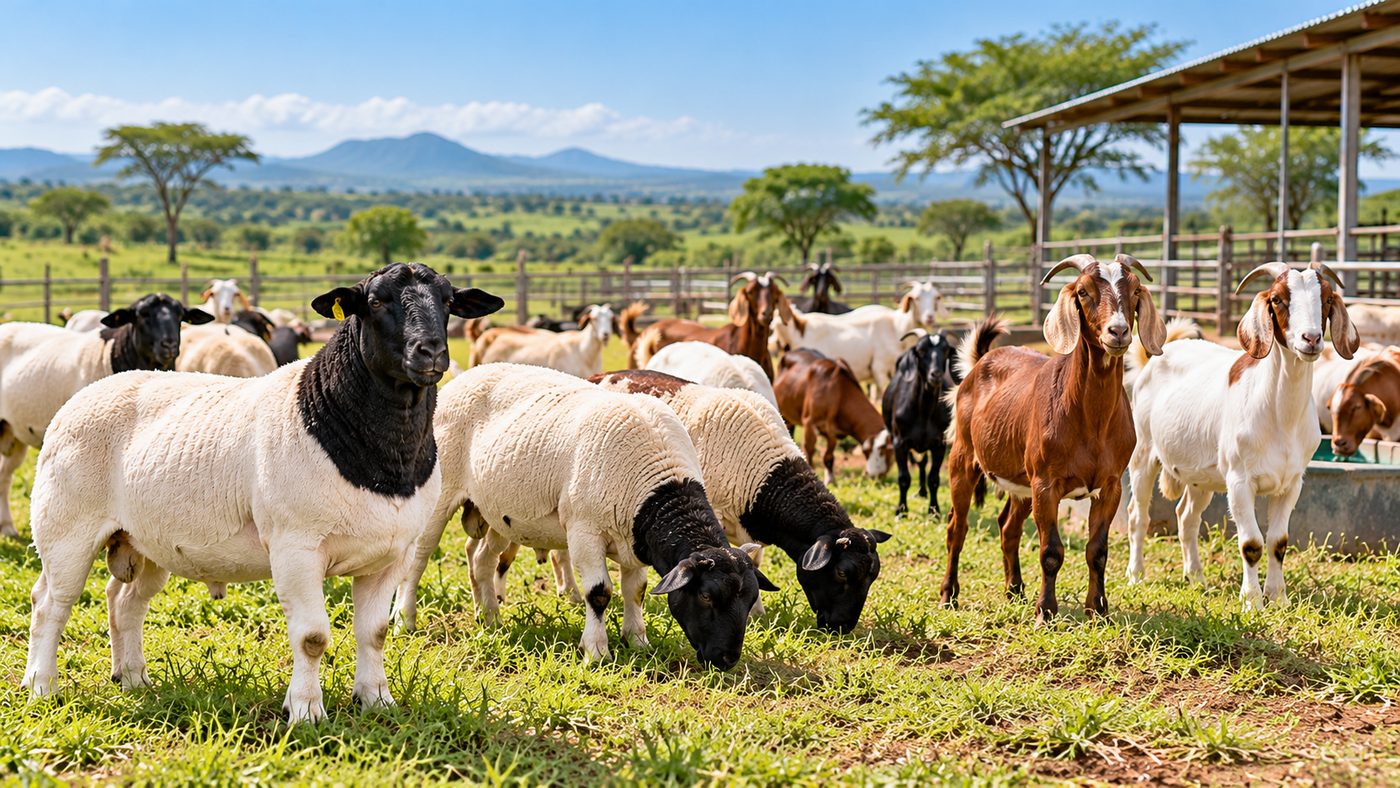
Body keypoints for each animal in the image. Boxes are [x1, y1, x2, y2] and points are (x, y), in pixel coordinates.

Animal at [0, 294, 213, 539]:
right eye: (142, 315)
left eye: (180, 315)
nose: (169, 345)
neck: (114, 356)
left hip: (14, 432)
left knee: (4, 476)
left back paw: (7, 527)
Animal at [391, 362, 776, 669]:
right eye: (707, 597)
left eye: (750, 599)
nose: (727, 659)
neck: (656, 484)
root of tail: (465, 377)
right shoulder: (585, 531)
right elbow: (599, 592)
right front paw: (596, 650)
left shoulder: (634, 538)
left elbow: (636, 590)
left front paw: (637, 639)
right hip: (441, 494)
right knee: (419, 559)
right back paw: (405, 620)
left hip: (496, 509)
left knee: (483, 559)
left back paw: (489, 618)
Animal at [770, 280, 946, 396]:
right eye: (916, 298)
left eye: (936, 298)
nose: (930, 318)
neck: (896, 328)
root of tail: (799, 324)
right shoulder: (879, 368)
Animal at [942, 254, 1166, 620]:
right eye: (1084, 291)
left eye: (1135, 290)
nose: (1118, 331)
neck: (1091, 423)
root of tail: (980, 361)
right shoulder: (1046, 484)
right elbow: (1050, 551)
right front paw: (1045, 612)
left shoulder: (1110, 485)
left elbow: (1097, 550)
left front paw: (1097, 609)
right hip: (963, 457)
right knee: (956, 528)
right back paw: (949, 594)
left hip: (1021, 480)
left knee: (1008, 527)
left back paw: (1014, 589)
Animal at [1126, 261, 1358, 611]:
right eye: (1277, 299)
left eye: (1328, 299)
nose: (1311, 338)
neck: (1280, 419)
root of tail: (1152, 359)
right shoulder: (1239, 480)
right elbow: (1251, 543)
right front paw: (1252, 601)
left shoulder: (1292, 483)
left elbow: (1278, 542)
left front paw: (1278, 598)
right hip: (1143, 452)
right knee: (1137, 515)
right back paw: (1136, 574)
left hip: (1201, 476)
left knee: (1186, 517)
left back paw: (1196, 577)